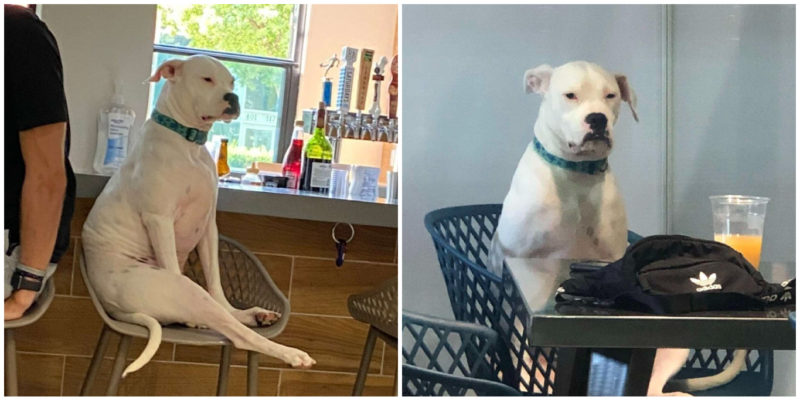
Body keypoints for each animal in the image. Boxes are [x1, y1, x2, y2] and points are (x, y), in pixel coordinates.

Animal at [83, 54, 316, 376]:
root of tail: (112, 306)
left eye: (231, 81)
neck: (188, 143)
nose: (232, 97)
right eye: (206, 79)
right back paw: (290, 353)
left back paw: (251, 315)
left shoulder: (207, 227)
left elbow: (215, 280)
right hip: (183, 288)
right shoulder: (160, 220)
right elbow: (174, 262)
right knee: (238, 335)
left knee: (221, 311)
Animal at [490, 61, 748, 396]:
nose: (597, 118)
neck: (576, 178)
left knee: (653, 388)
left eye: (610, 95)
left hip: (672, 349)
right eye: (570, 95)